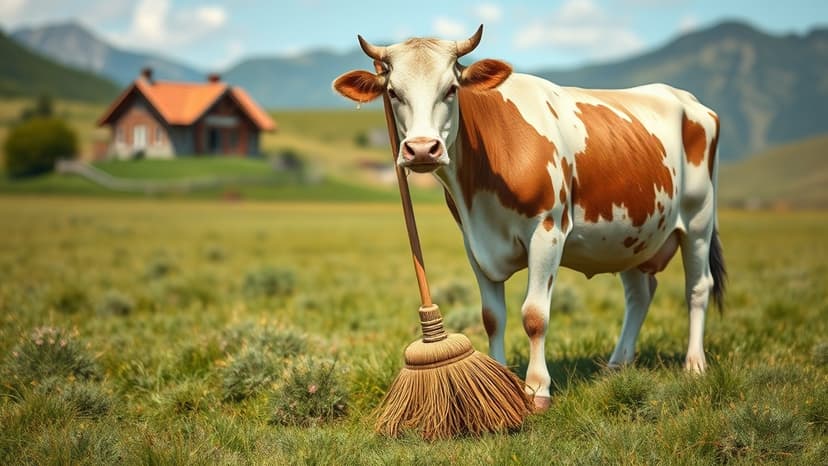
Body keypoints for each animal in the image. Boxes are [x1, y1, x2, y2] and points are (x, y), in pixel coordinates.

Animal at [333, 26, 725, 410]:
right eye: (393, 92)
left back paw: (694, 365)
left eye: (451, 89)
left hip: (699, 218)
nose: (421, 150)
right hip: (631, 234)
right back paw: (617, 365)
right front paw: (498, 382)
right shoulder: (475, 242)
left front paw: (537, 390)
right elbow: (492, 317)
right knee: (640, 294)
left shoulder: (548, 230)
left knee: (697, 288)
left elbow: (534, 315)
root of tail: (685, 99)